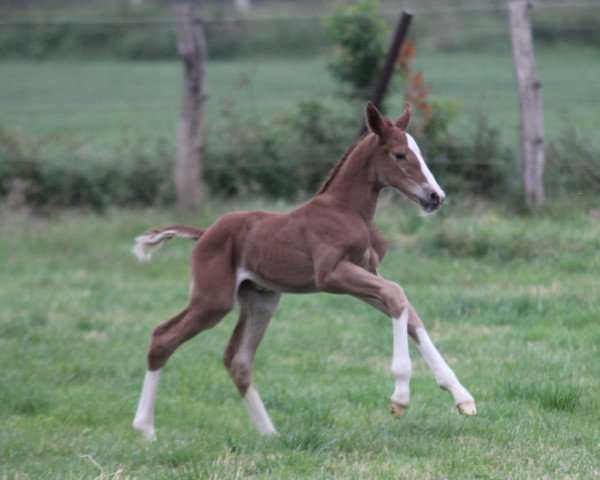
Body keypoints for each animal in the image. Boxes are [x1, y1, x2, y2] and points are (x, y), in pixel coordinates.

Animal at [134, 102, 476, 438]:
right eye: (400, 155)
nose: (435, 197)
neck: (348, 211)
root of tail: (204, 232)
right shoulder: (331, 275)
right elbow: (397, 294)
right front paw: (400, 398)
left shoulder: (366, 273)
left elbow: (406, 309)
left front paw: (462, 397)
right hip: (213, 299)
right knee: (163, 337)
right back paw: (145, 428)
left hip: (260, 299)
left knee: (238, 360)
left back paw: (269, 434)